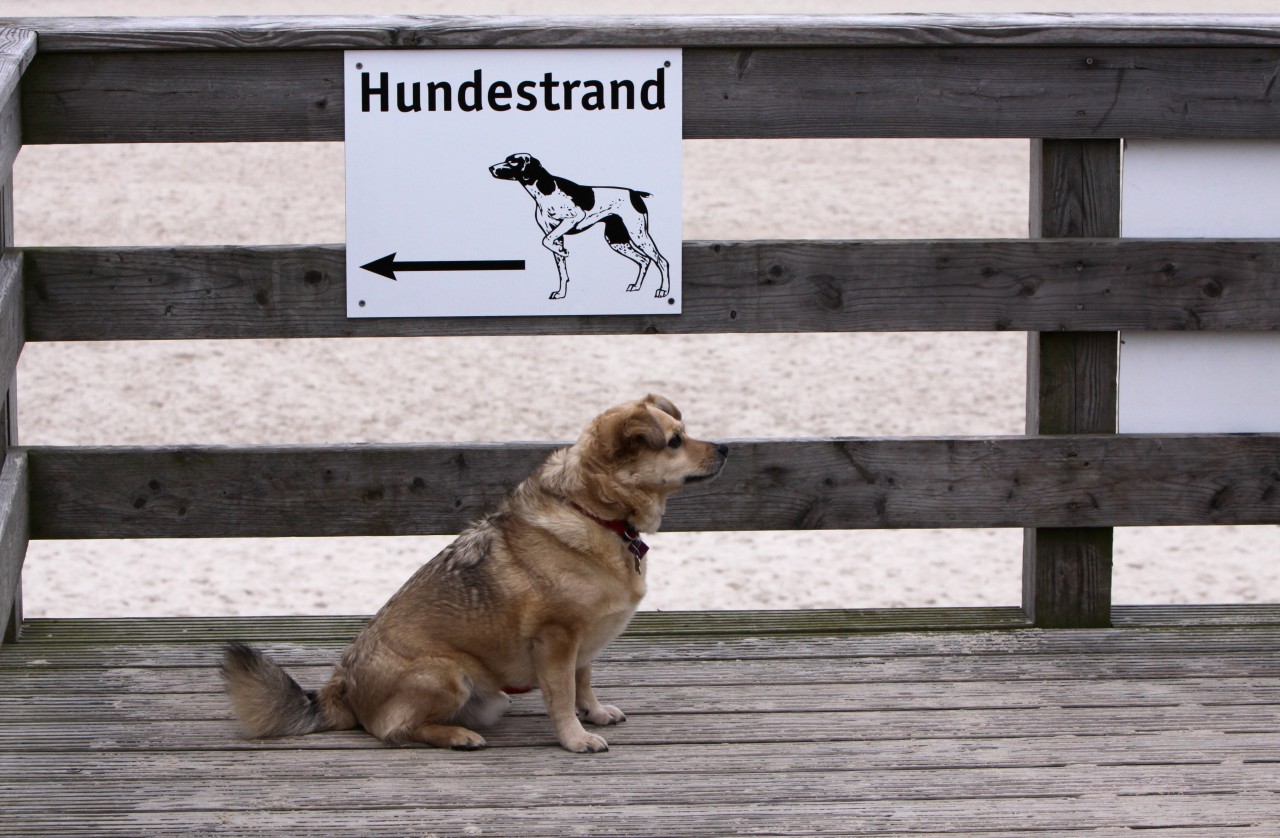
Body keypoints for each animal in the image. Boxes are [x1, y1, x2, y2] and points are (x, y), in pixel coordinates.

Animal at [217, 394, 721, 752]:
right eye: (675, 441)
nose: (727, 449)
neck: (596, 513)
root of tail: (343, 688)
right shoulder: (557, 640)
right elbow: (561, 696)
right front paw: (575, 738)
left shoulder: (583, 645)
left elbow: (583, 683)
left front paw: (593, 713)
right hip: (447, 674)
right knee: (395, 731)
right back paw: (456, 736)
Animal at [486, 154, 670, 301]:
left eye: (512, 162)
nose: (490, 168)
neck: (544, 190)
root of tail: (635, 193)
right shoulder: (556, 235)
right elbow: (561, 270)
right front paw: (561, 293)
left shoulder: (572, 219)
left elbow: (545, 241)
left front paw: (564, 252)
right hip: (617, 240)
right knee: (644, 260)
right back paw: (637, 286)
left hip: (638, 235)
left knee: (662, 261)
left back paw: (663, 290)